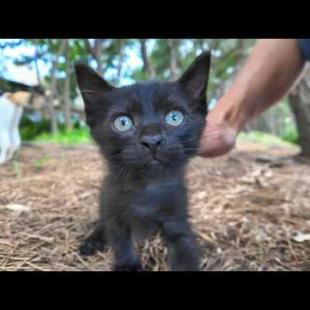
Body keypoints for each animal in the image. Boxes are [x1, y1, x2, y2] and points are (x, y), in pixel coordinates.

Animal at [75, 52, 211, 272]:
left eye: (175, 117)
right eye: (123, 122)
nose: (152, 140)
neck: (147, 189)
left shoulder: (177, 219)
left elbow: (185, 249)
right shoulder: (113, 209)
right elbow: (119, 239)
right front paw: (128, 265)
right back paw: (92, 240)